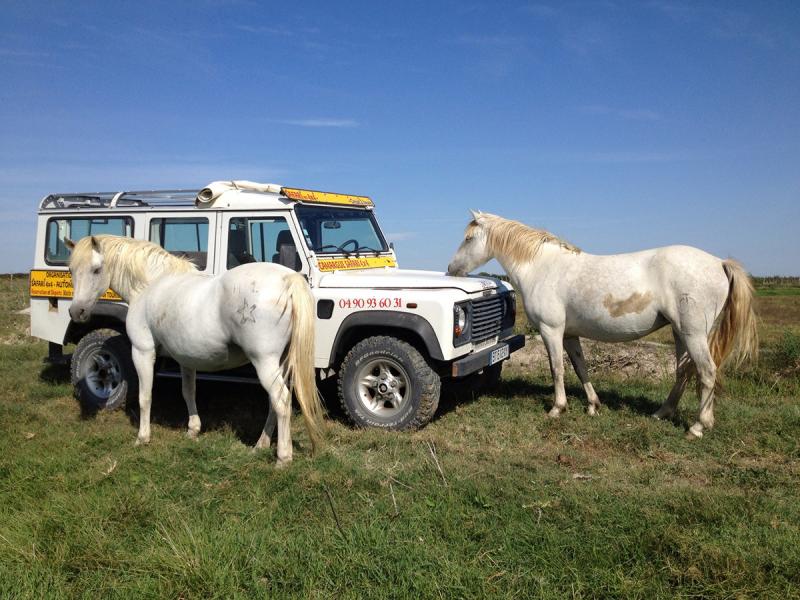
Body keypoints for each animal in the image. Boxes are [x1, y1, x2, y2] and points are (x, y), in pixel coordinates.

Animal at [65, 234, 322, 464]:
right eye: (71, 270)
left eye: (96, 269)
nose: (77, 312)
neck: (149, 286)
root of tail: (287, 278)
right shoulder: (186, 359)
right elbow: (188, 392)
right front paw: (193, 430)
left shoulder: (142, 351)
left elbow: (145, 396)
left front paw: (142, 438)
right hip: (280, 363)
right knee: (274, 403)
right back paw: (260, 445)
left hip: (264, 361)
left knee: (281, 400)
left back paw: (283, 458)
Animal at [446, 211, 760, 436]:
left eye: (469, 238)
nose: (451, 269)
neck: (542, 267)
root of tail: (719, 262)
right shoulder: (570, 335)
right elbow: (580, 367)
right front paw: (593, 405)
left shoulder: (551, 330)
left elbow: (557, 369)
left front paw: (557, 408)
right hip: (680, 333)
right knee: (683, 372)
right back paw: (662, 413)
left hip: (694, 334)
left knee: (706, 372)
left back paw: (698, 426)